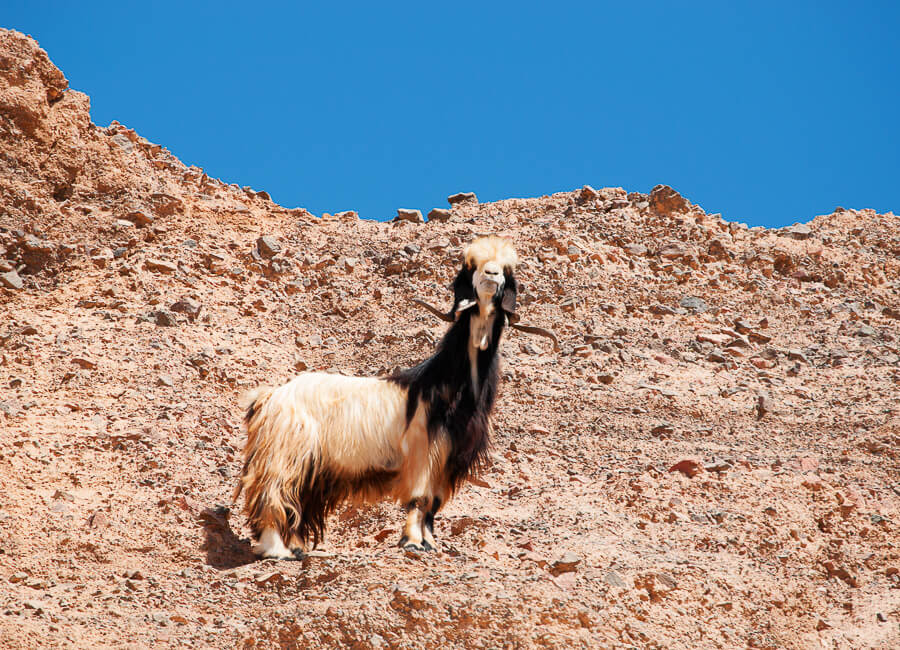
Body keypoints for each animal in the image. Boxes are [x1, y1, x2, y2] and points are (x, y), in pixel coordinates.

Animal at [233, 236, 557, 559]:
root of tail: (268, 396)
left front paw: (431, 543)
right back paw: (277, 550)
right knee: (272, 495)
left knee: (297, 503)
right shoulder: (424, 453)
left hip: (310, 468)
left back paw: (297, 547)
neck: (448, 384)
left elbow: (433, 505)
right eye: (470, 267)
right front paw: (412, 542)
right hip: (283, 455)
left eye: (506, 271)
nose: (490, 275)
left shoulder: (446, 460)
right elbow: (419, 499)